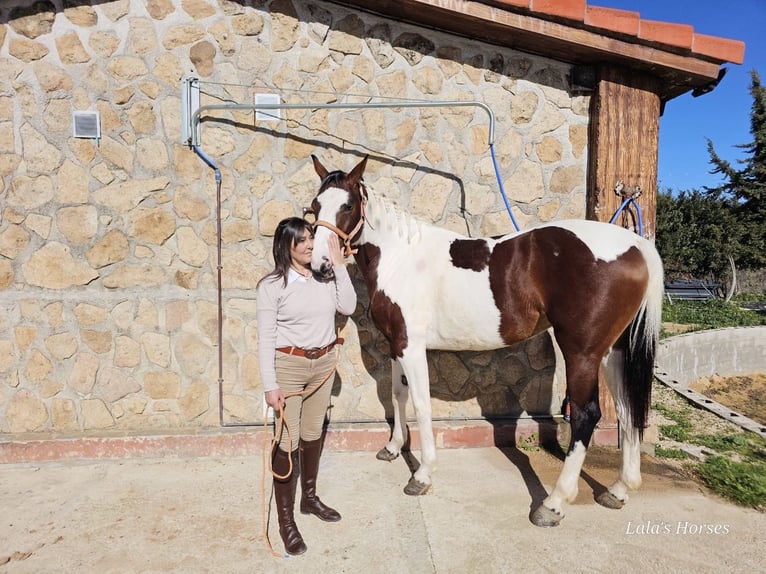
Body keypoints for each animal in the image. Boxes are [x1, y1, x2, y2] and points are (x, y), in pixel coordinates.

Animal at [308, 155, 664, 528]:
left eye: (347, 205)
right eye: (315, 205)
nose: (320, 266)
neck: (400, 258)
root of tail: (637, 246)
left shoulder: (412, 346)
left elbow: (421, 404)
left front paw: (422, 475)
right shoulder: (396, 344)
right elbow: (398, 395)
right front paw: (392, 448)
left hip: (582, 352)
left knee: (586, 414)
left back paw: (552, 504)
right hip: (613, 351)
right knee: (627, 408)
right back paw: (619, 490)